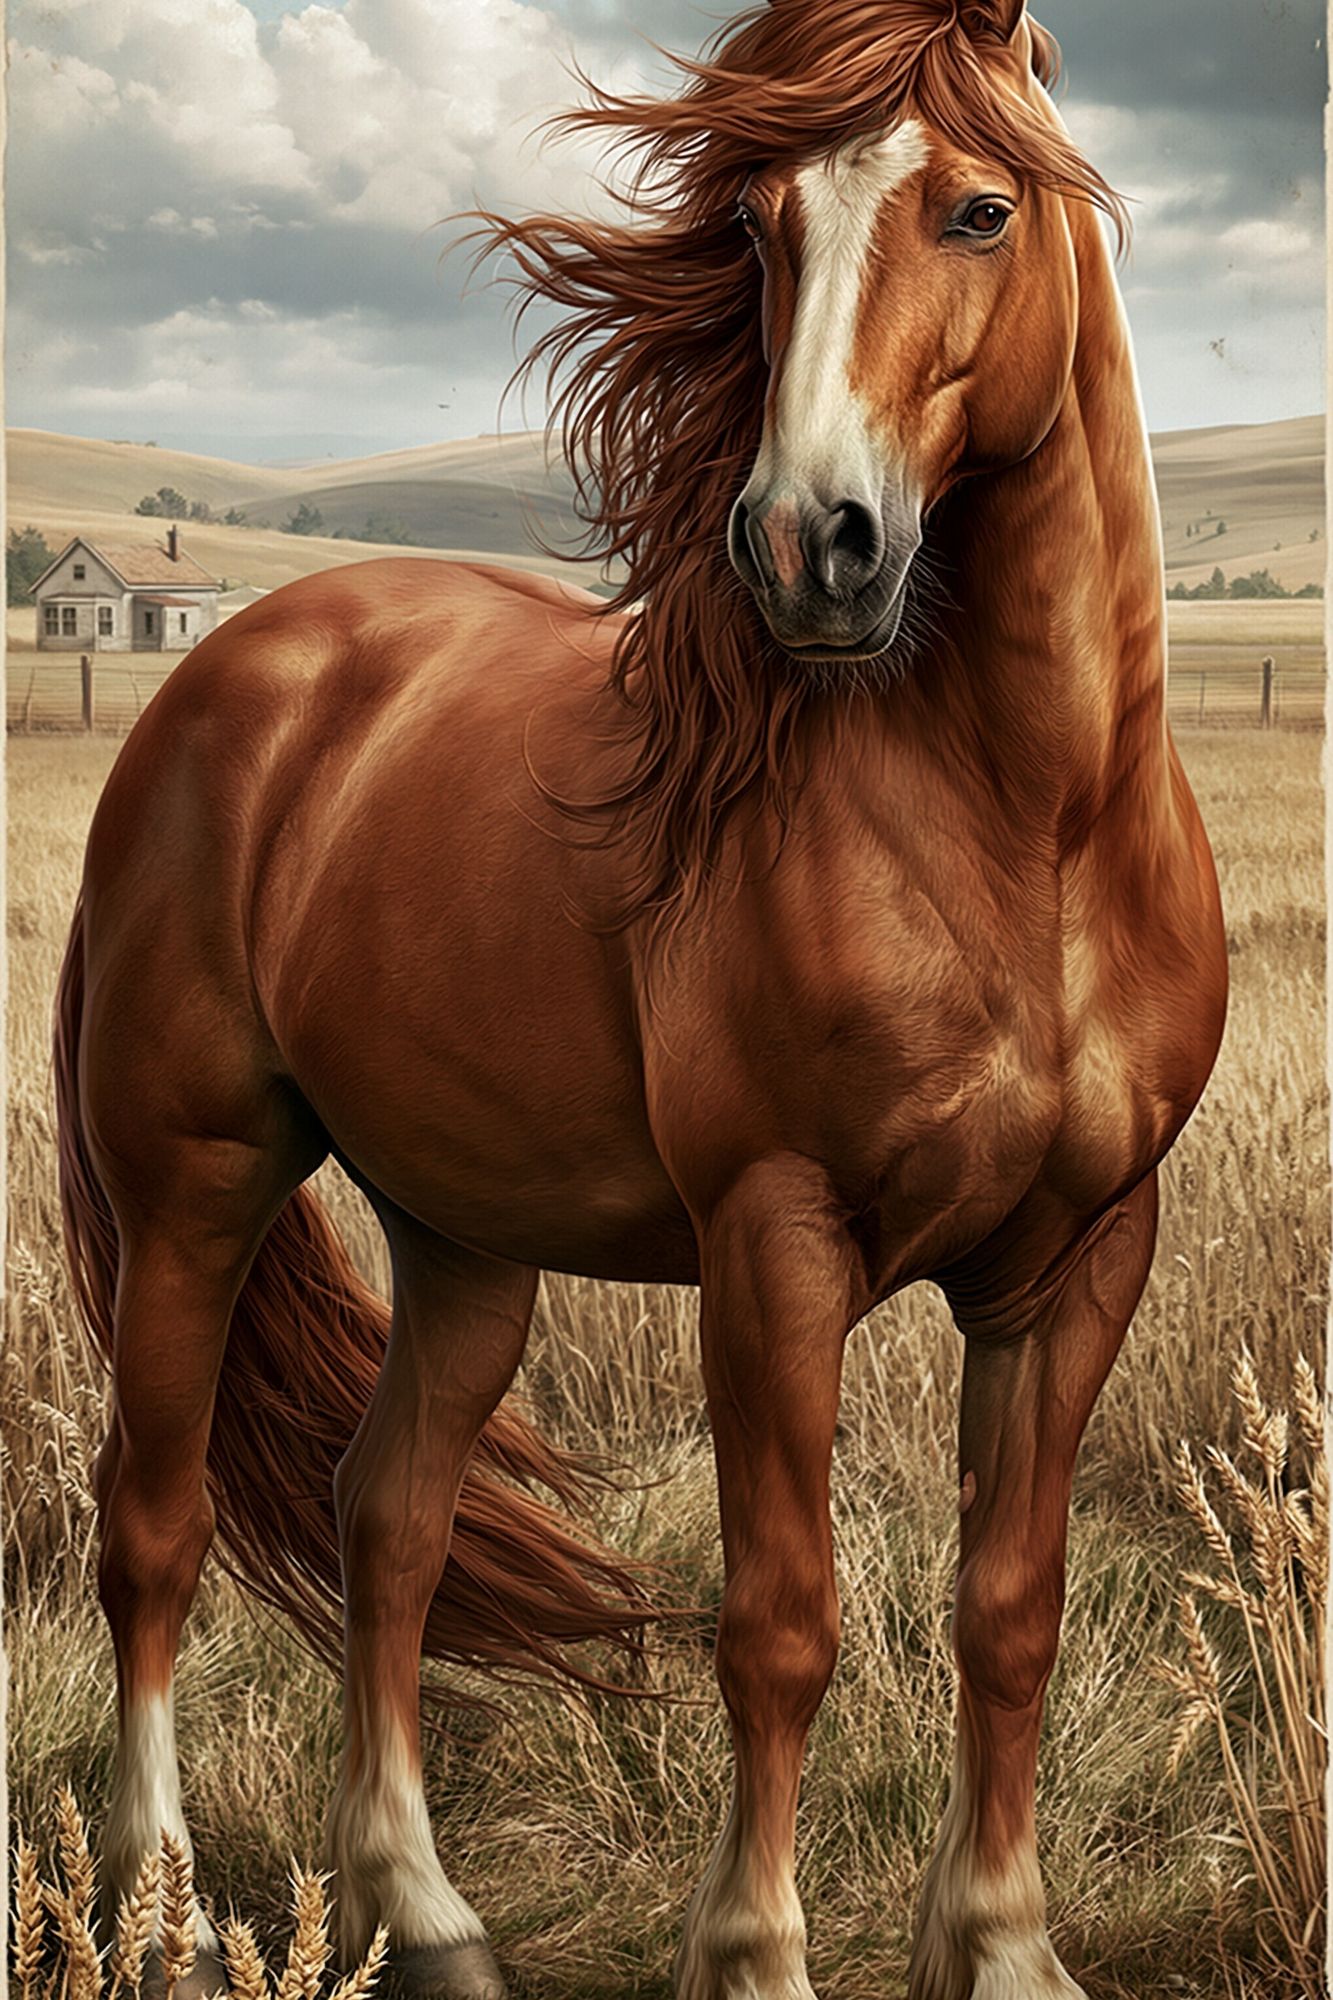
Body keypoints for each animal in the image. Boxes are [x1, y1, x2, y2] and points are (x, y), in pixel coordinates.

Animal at [55, 2, 1228, 1996]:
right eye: (755, 227)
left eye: (980, 208)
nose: (805, 545)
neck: (1037, 833)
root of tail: (231, 680)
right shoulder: (775, 1241)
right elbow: (781, 1621)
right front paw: (750, 1955)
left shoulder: (1083, 1256)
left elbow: (1010, 1604)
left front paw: (999, 1942)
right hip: (192, 1183)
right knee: (156, 1525)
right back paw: (161, 1910)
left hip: (462, 1239)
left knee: (389, 1519)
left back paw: (427, 1914)